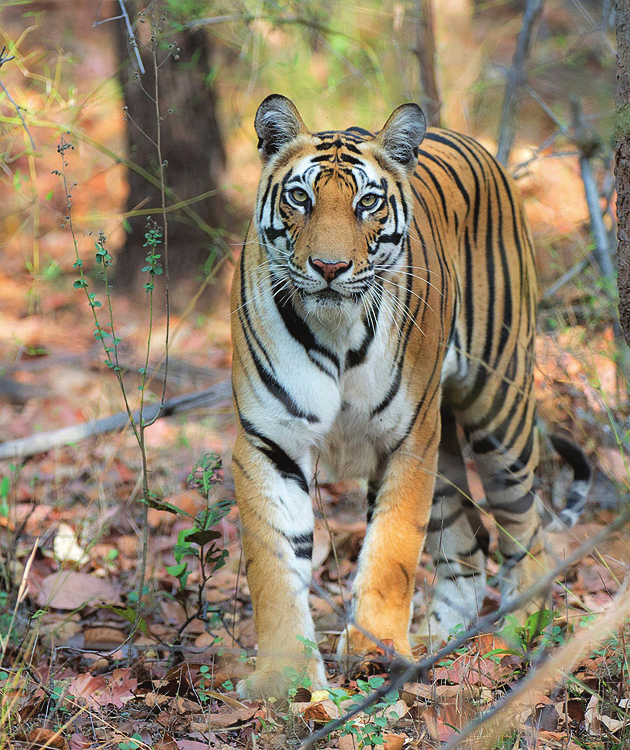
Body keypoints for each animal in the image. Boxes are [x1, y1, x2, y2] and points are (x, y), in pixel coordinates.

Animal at [231, 92, 592, 700]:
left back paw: (515, 637)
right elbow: (273, 564)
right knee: (469, 545)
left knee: (527, 533)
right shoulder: (270, 441)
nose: (329, 267)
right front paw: (283, 680)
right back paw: (441, 645)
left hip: (499, 413)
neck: (336, 329)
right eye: (300, 197)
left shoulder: (409, 440)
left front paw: (376, 651)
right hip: (448, 448)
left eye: (368, 202)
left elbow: (393, 550)